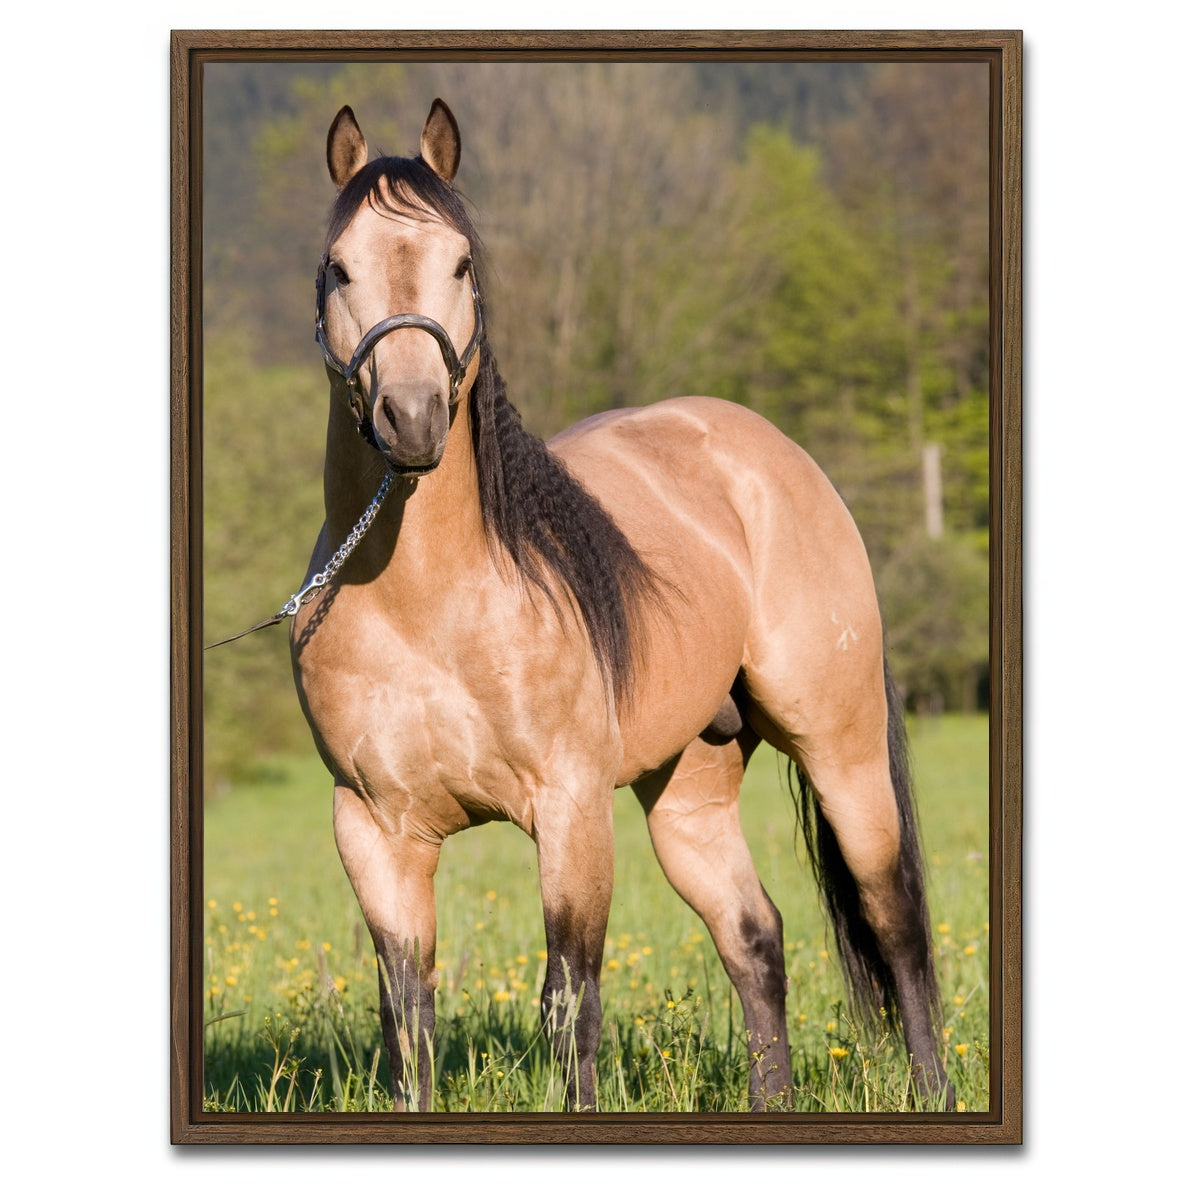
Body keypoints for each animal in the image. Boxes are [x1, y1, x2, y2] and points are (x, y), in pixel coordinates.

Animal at [289, 98, 952, 1113]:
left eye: (463, 263)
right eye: (339, 265)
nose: (413, 415)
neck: (426, 605)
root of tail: (772, 453)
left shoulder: (568, 810)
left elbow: (570, 1001)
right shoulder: (372, 829)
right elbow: (408, 1017)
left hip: (841, 749)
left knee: (893, 920)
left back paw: (931, 1090)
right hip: (688, 790)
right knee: (754, 938)